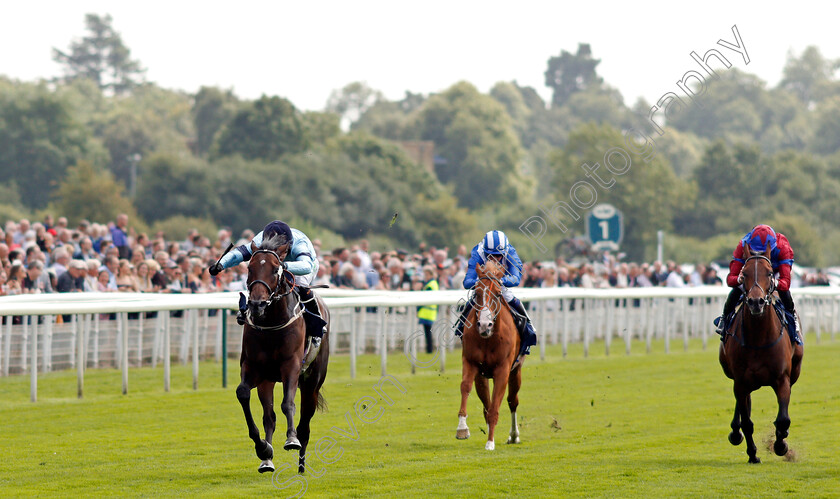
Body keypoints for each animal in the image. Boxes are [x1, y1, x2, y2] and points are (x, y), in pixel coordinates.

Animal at [236, 248, 332, 474]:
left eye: (274, 270)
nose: (257, 304)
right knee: (269, 417)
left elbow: (288, 403)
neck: (271, 324)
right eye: (250, 268)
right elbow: (243, 393)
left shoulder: (291, 366)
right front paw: (263, 448)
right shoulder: (254, 369)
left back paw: (301, 465)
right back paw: (267, 461)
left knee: (305, 424)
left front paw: (291, 440)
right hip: (267, 381)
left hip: (312, 383)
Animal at [456, 260, 520, 452]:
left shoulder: (503, 370)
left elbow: (497, 405)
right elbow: (465, 387)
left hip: (516, 370)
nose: (485, 325)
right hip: (482, 376)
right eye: (477, 293)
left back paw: (513, 436)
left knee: (512, 401)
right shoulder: (470, 362)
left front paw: (490, 442)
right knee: (487, 402)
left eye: (498, 293)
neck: (488, 338)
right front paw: (462, 428)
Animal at [720, 246, 804, 464]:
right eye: (744, 273)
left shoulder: (782, 379)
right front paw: (752, 454)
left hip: (795, 371)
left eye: (769, 272)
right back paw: (735, 432)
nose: (756, 302)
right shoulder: (740, 381)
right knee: (743, 404)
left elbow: (783, 419)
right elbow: (747, 422)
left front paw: (781, 445)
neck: (758, 339)